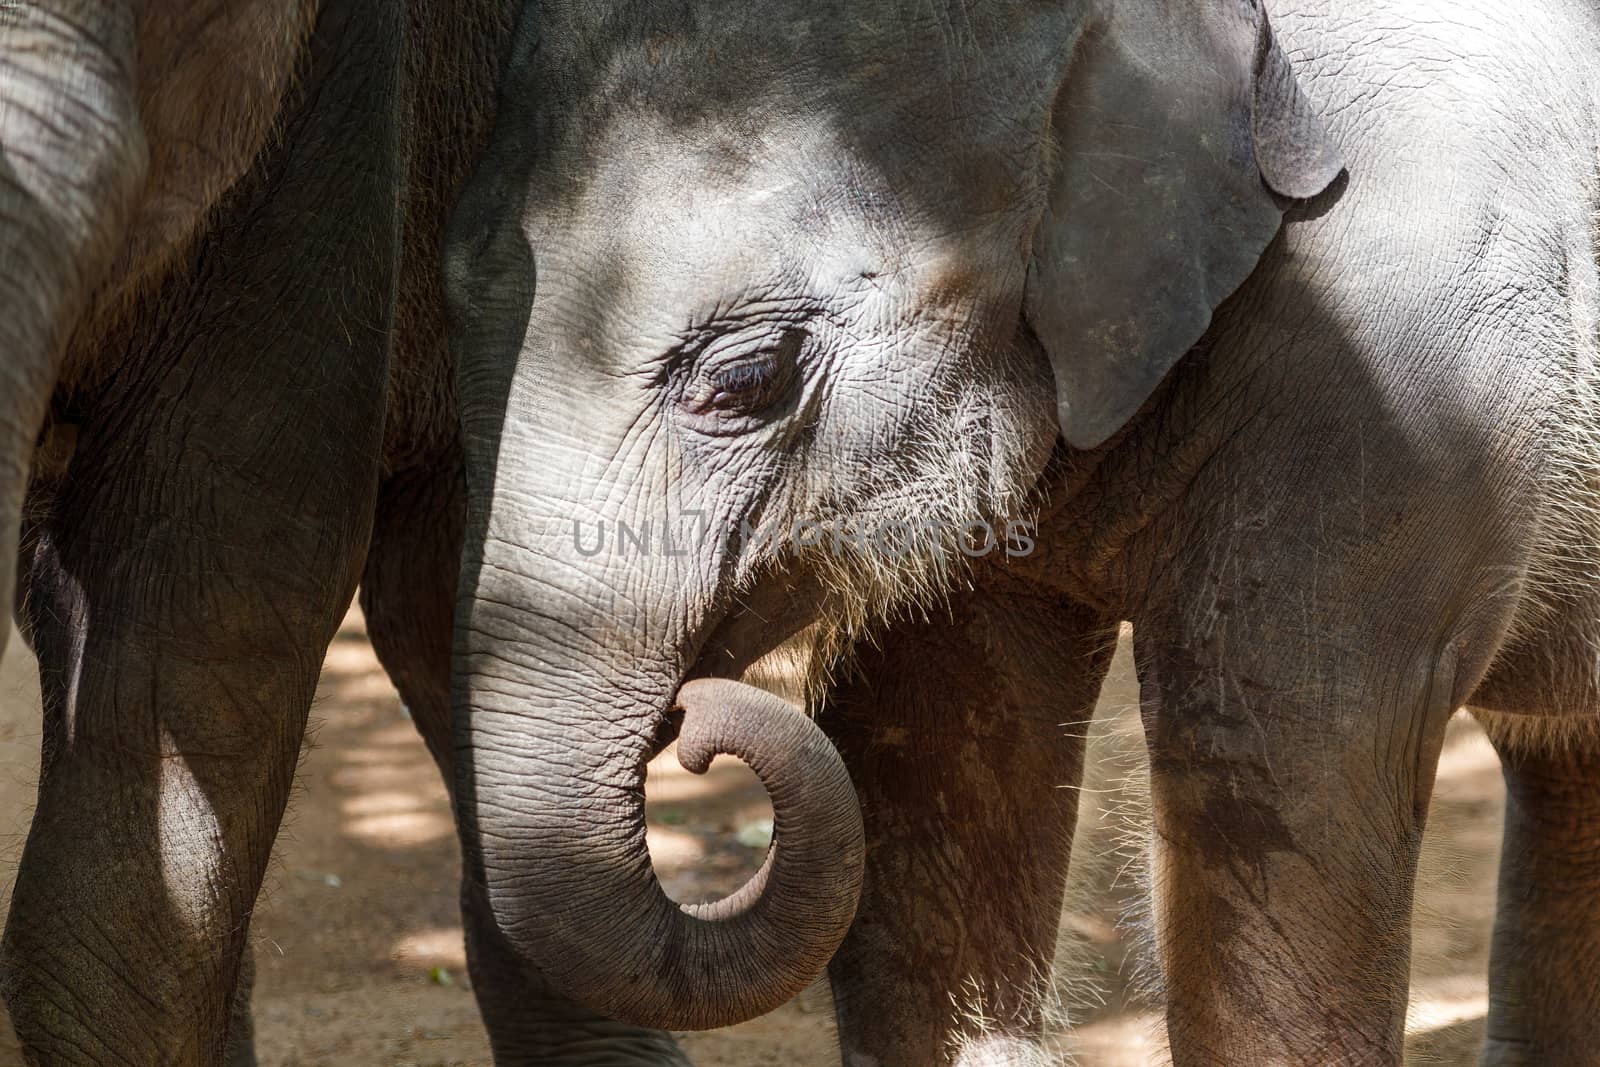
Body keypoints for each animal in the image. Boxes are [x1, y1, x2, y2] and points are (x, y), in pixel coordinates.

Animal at [444, 0, 1600, 1062]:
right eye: (457, 312)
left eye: (745, 379)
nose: (688, 714)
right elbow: (941, 743)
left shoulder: (1400, 392)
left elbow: (1267, 778)